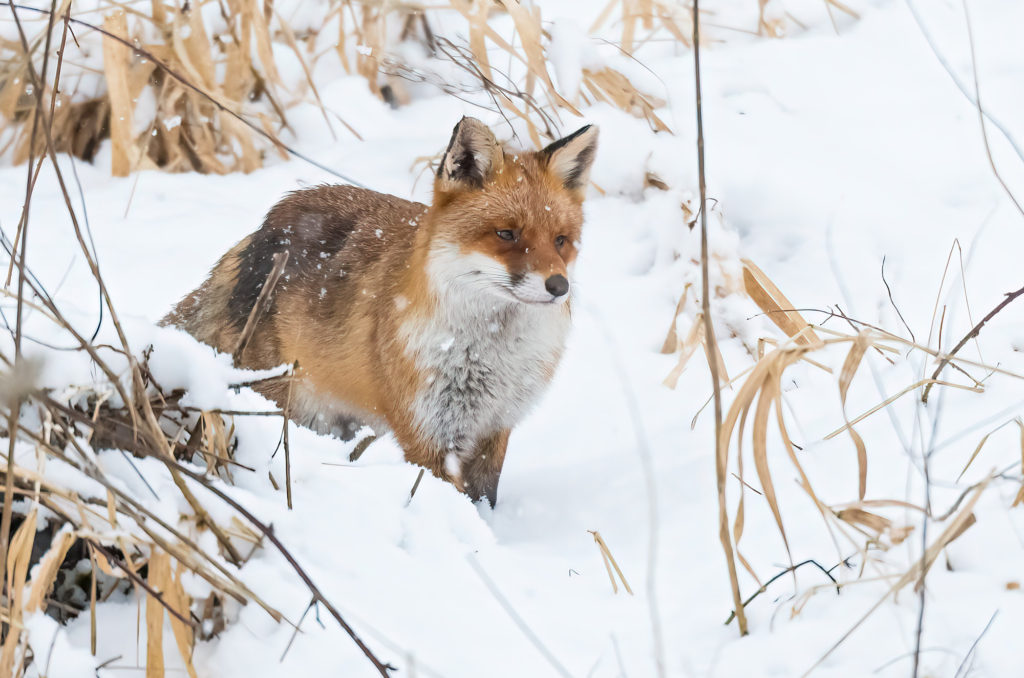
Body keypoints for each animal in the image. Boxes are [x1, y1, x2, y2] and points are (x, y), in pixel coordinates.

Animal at [162, 116, 598, 507]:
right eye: (506, 234)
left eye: (561, 240)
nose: (559, 287)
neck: (491, 355)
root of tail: (259, 233)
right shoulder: (424, 431)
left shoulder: (495, 425)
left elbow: (484, 501)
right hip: (281, 404)